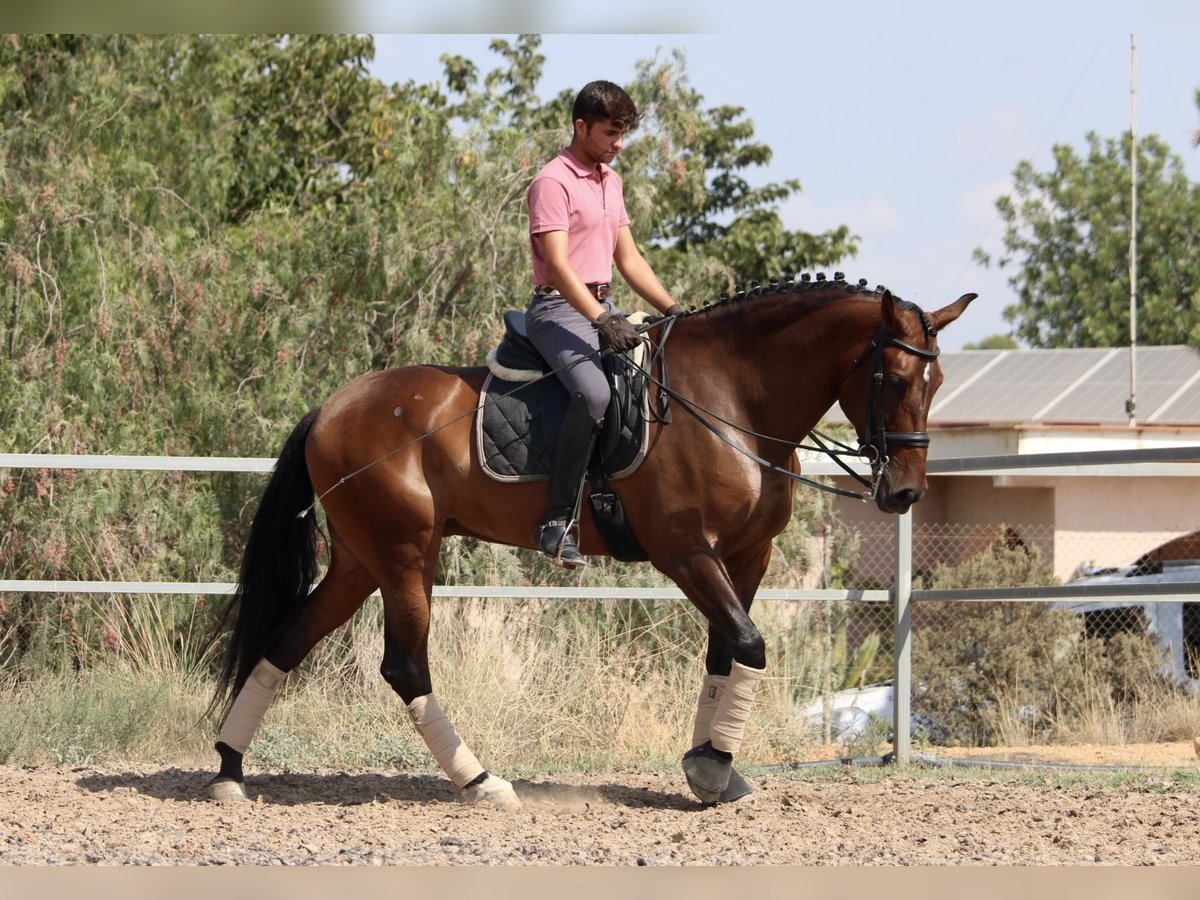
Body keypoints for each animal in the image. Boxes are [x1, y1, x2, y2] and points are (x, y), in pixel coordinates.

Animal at [208, 274, 974, 811]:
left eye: (936, 381)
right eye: (894, 378)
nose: (905, 494)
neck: (732, 398)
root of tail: (331, 407)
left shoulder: (744, 556)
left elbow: (725, 653)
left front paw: (709, 765)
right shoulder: (685, 551)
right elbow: (751, 646)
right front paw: (712, 769)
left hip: (361, 560)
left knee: (285, 642)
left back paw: (228, 770)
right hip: (405, 555)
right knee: (404, 667)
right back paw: (482, 782)